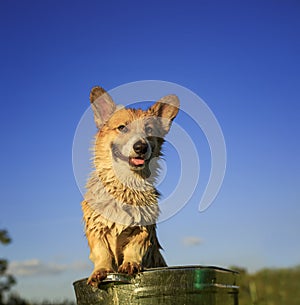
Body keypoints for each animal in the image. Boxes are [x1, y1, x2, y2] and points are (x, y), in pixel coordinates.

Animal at [81, 85, 179, 284]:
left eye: (149, 130)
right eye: (122, 128)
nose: (141, 147)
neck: (125, 184)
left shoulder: (141, 231)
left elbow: (134, 249)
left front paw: (130, 264)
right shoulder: (96, 230)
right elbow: (102, 254)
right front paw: (100, 271)